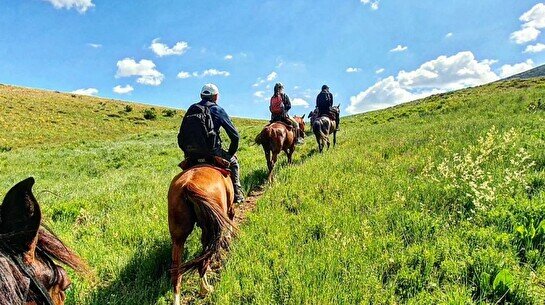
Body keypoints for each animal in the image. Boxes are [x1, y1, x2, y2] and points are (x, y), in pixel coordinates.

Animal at [166, 164, 234, 302]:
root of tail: (188, 185)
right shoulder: (229, 209)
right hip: (211, 229)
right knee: (203, 263)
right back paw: (205, 289)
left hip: (178, 235)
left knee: (176, 273)